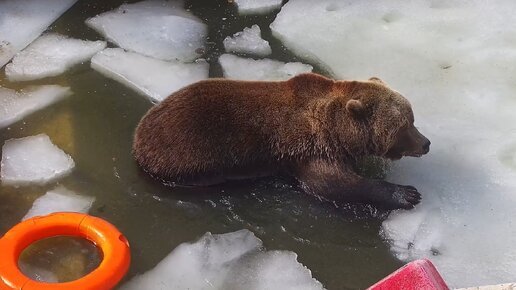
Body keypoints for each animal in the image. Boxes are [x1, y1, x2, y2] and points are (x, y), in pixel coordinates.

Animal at [131, 72, 430, 208]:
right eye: (406, 125)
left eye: (412, 118)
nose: (426, 143)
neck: (338, 128)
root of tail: (138, 137)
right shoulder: (312, 150)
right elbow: (337, 185)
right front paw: (407, 193)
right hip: (188, 153)